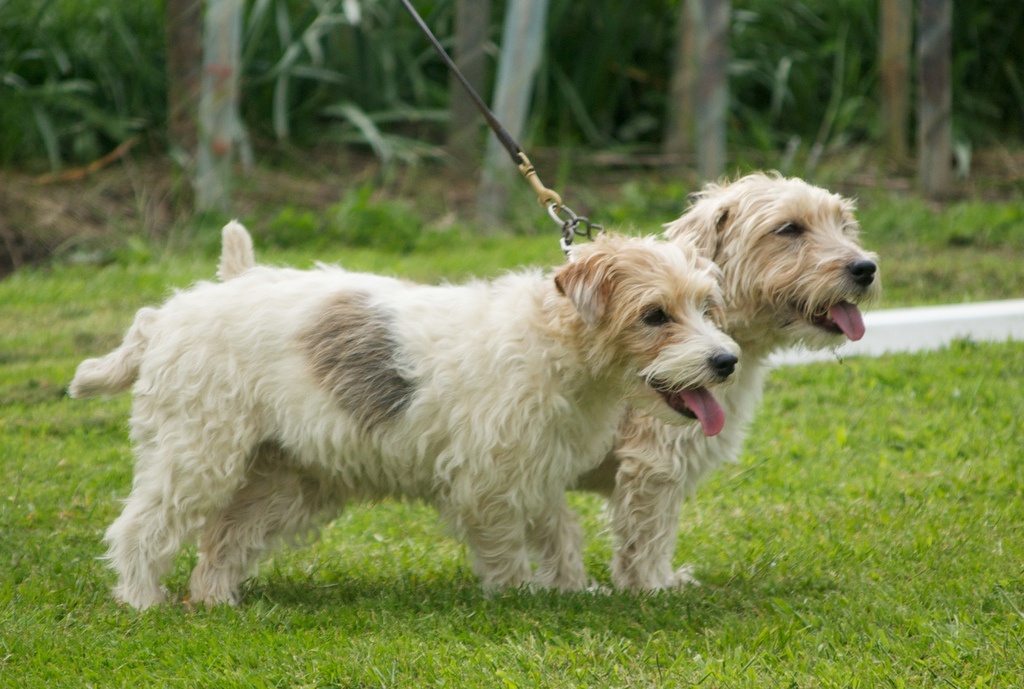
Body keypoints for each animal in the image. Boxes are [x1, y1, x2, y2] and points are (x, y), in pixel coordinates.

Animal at [74, 222, 745, 606]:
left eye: (706, 306)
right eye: (654, 315)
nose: (726, 361)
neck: (552, 342)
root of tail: (166, 316)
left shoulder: (535, 474)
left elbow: (560, 535)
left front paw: (573, 590)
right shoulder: (490, 484)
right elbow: (507, 548)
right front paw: (522, 596)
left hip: (281, 480)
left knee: (222, 540)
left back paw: (215, 600)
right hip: (196, 456)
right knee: (141, 527)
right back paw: (141, 600)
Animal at [577, 173, 880, 589]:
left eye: (844, 224)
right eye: (789, 229)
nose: (865, 268)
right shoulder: (655, 464)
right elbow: (649, 536)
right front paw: (655, 586)